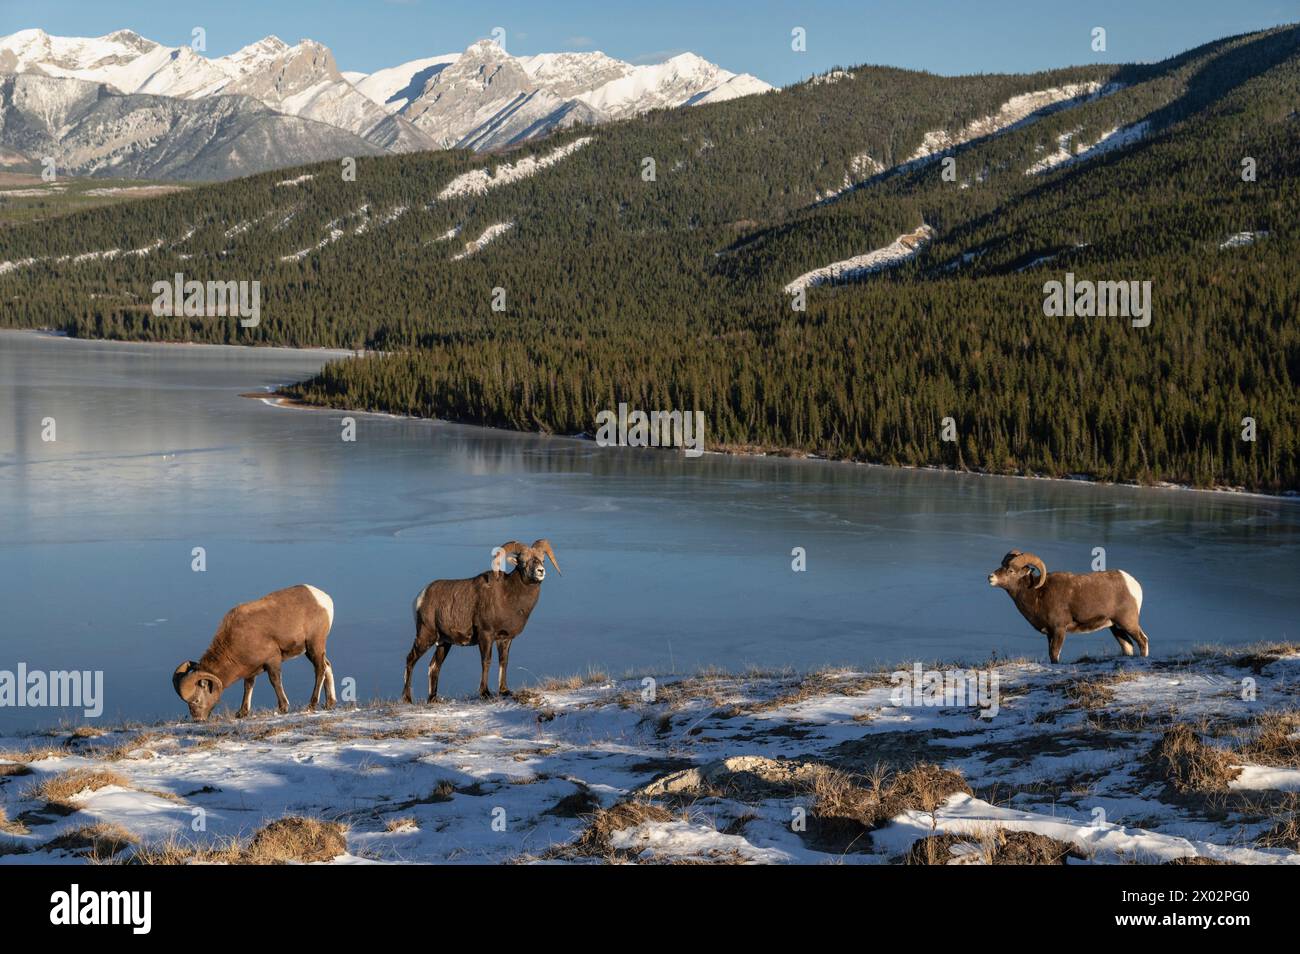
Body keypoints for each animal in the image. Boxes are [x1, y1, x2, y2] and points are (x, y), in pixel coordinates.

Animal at [171, 582, 335, 722]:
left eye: (196, 700)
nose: (198, 720)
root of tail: (325, 600)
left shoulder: (273, 660)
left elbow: (275, 681)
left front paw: (283, 708)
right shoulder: (250, 671)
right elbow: (248, 686)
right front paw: (242, 713)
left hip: (314, 644)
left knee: (320, 668)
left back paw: (312, 704)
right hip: (310, 650)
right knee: (327, 665)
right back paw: (330, 703)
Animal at [403, 540, 561, 707]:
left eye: (542, 560)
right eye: (524, 562)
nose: (540, 571)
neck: (508, 596)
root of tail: (421, 596)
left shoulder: (505, 639)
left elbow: (503, 661)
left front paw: (504, 691)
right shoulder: (486, 636)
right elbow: (486, 661)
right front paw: (485, 693)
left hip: (444, 643)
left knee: (434, 667)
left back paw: (433, 699)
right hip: (426, 636)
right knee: (410, 660)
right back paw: (407, 699)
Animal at [982, 553, 1149, 665]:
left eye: (1011, 570)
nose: (990, 577)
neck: (1038, 594)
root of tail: (1134, 585)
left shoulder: (1059, 630)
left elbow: (1055, 654)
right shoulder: (1049, 633)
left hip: (1128, 622)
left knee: (1143, 640)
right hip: (1115, 627)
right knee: (1127, 646)